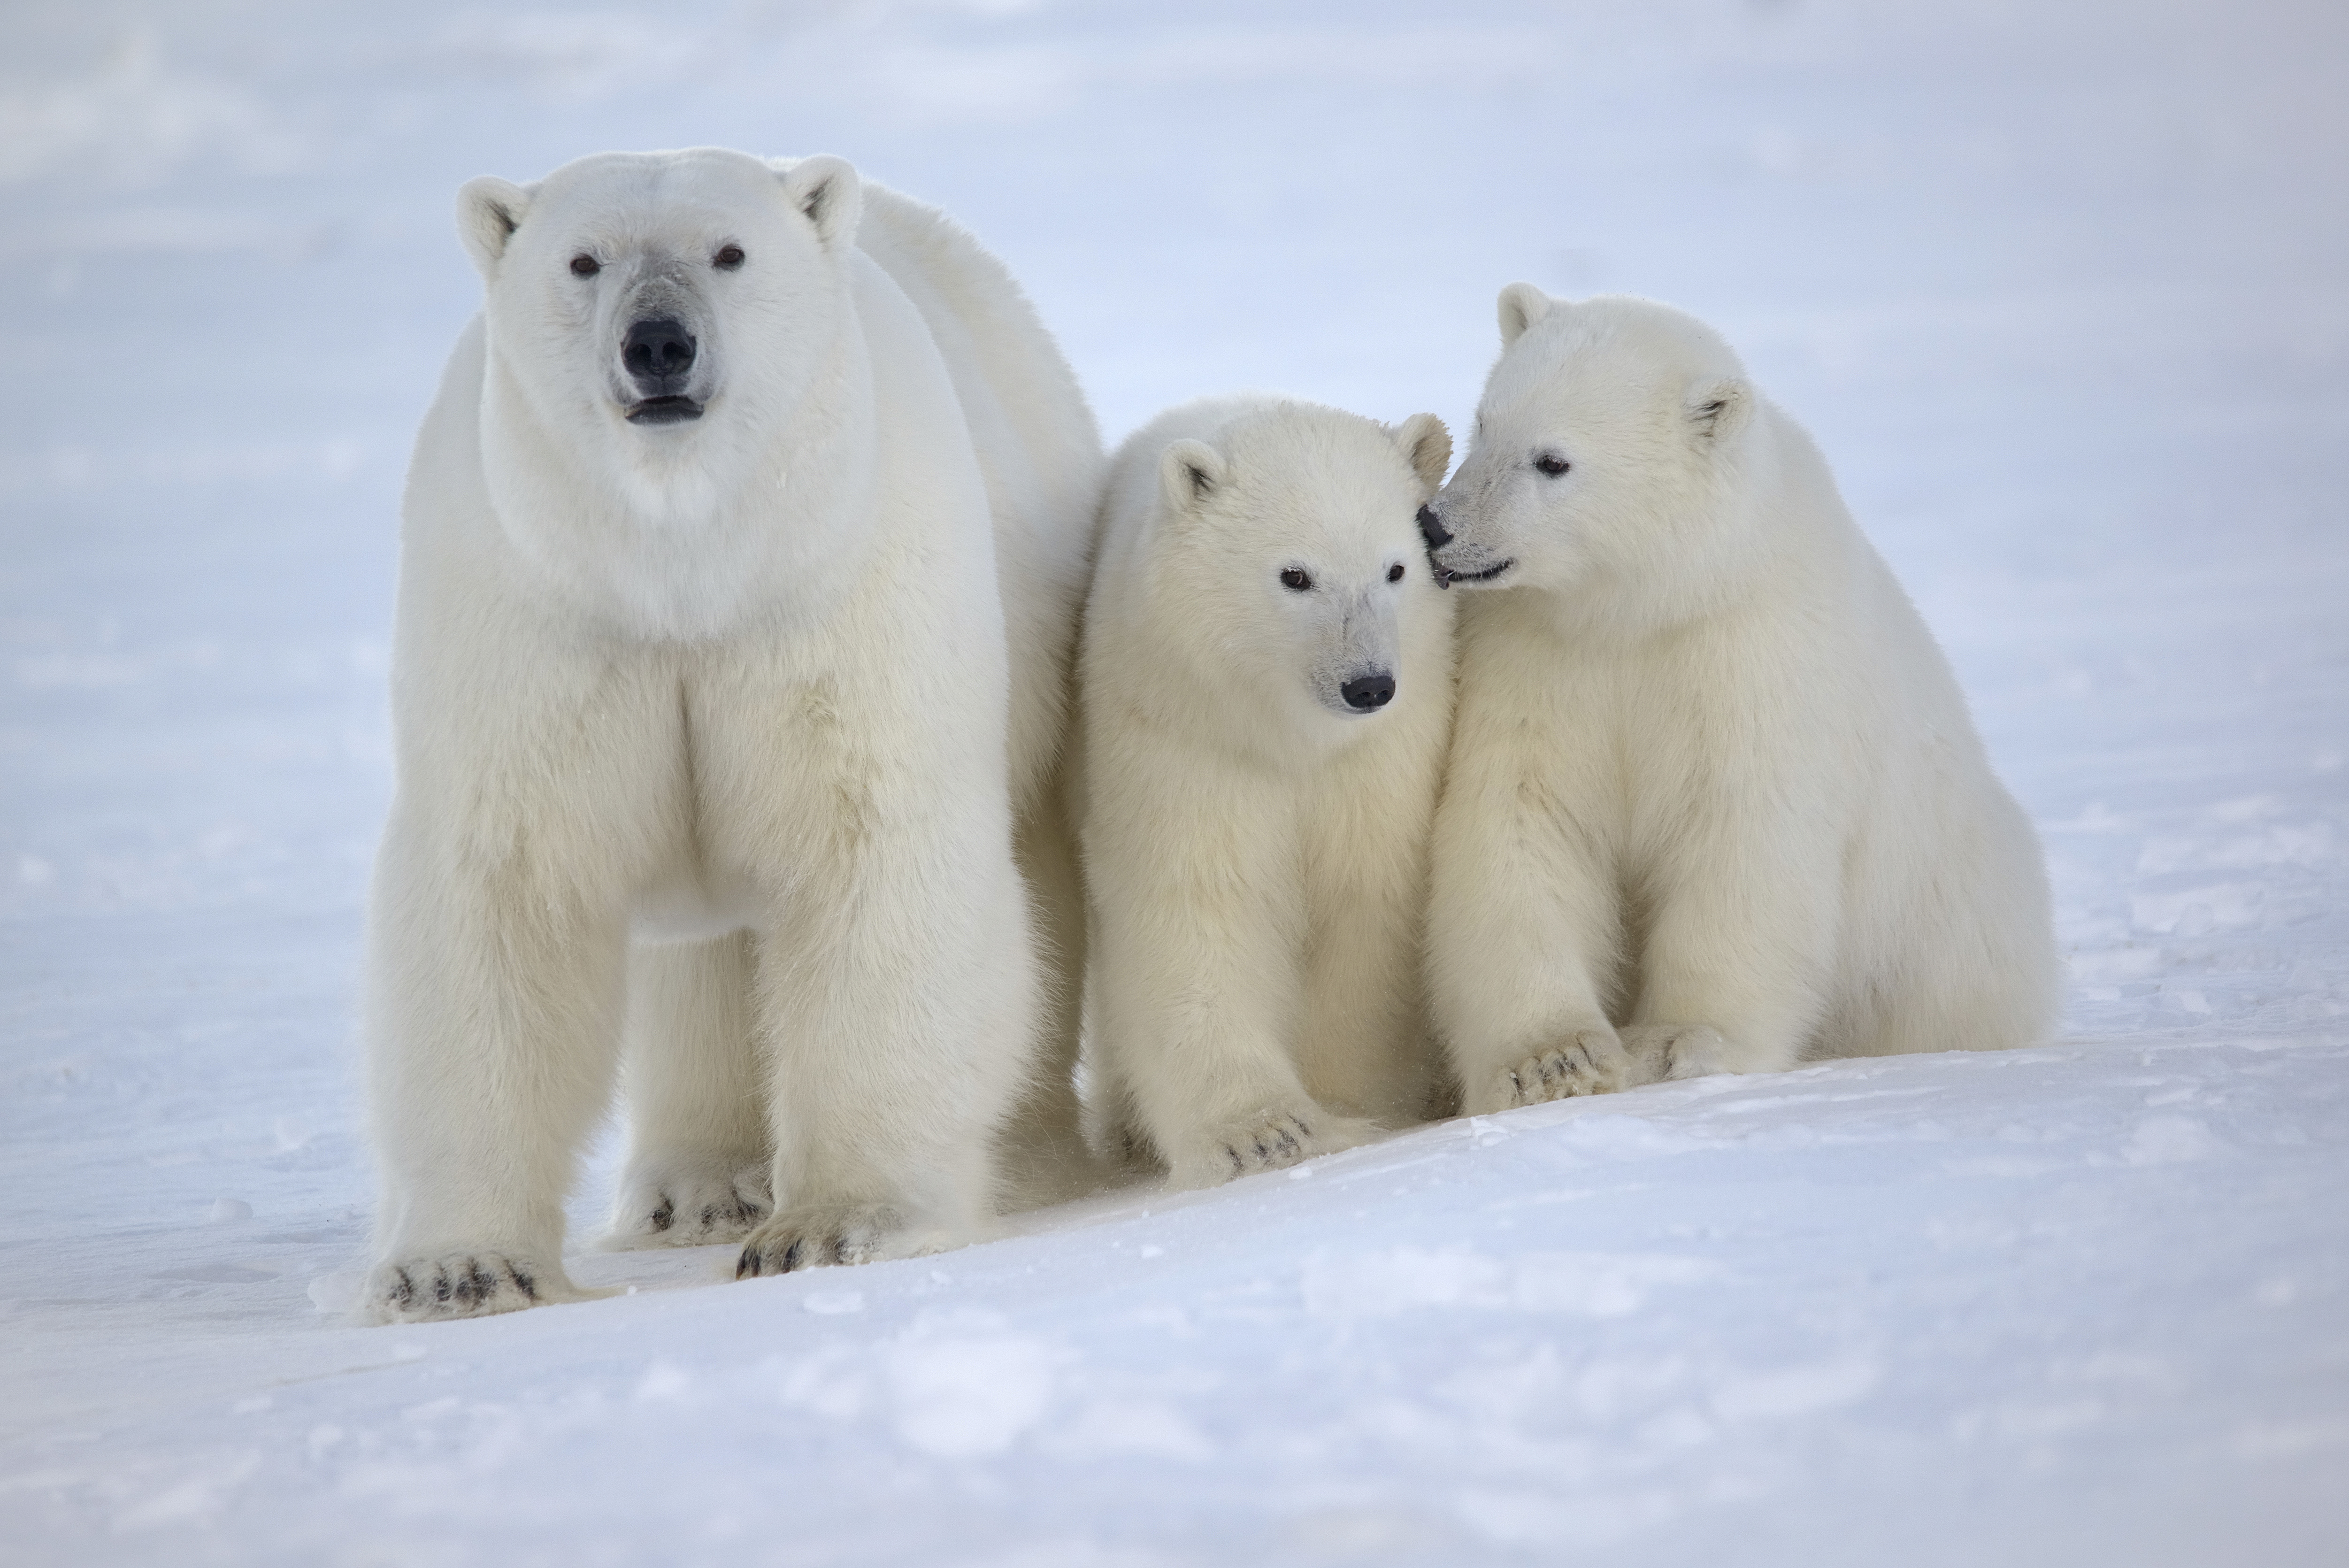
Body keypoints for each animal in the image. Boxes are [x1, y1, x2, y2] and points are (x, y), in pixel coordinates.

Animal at [361, 150, 1104, 1326]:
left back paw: (1024, 1159)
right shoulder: (536, 609)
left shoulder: (837, 589)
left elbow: (874, 848)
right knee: (700, 962)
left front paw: (837, 1224)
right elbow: (503, 888)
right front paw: (457, 1268)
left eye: (729, 251)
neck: (691, 568)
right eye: (584, 260)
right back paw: (700, 1188)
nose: (659, 344)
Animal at [1075, 402, 1447, 1189]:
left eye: (1397, 567)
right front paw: (1264, 1135)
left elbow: (1366, 902)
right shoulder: (1182, 734)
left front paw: (1350, 1102)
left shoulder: (1382, 761)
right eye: (1295, 575)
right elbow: (1196, 901)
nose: (1368, 685)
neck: (1288, 738)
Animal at [1409, 285, 2057, 1114]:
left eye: (1553, 461)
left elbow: (1739, 835)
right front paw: (1554, 1063)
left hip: (1946, 901)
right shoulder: (1537, 658)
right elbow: (1520, 817)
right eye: (1486, 422)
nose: (1436, 527)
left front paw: (1680, 1043)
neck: (1649, 604)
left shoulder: (1750, 657)